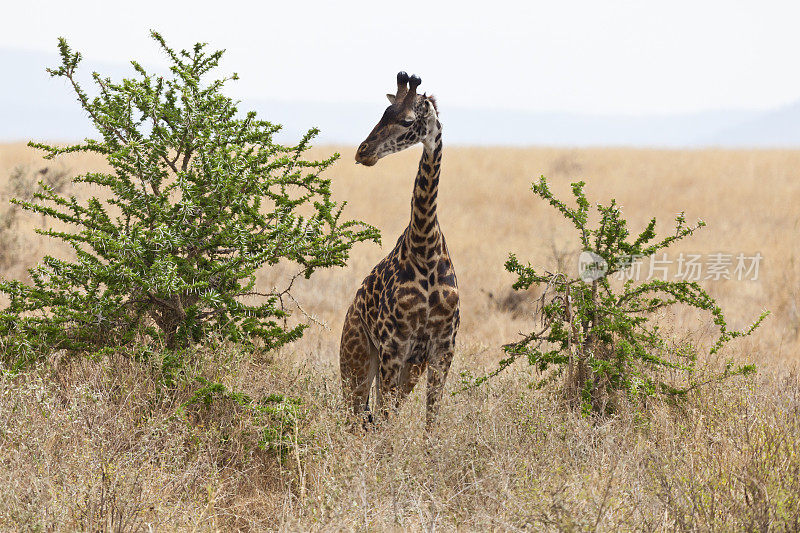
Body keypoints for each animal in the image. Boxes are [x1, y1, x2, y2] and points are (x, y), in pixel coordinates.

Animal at [340, 70, 462, 428]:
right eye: (383, 113)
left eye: (407, 120)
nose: (363, 151)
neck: (425, 247)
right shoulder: (394, 345)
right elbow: (385, 419)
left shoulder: (442, 348)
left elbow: (431, 420)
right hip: (356, 357)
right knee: (355, 414)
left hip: (409, 368)